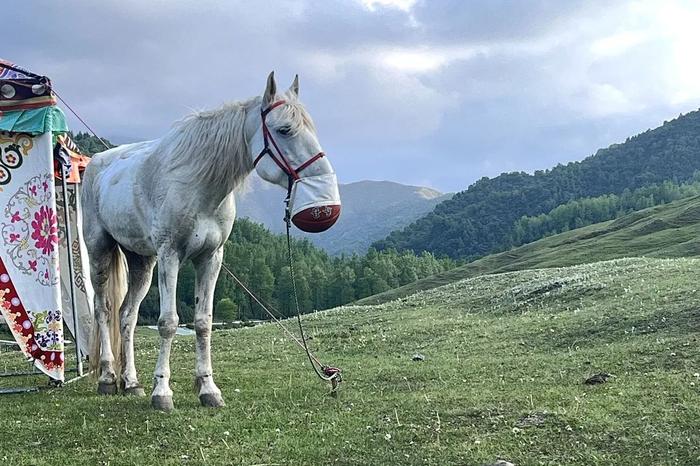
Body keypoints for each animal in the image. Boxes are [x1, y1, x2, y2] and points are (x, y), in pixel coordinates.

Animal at [81, 73, 342, 412]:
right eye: (284, 129)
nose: (323, 185)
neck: (198, 186)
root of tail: (96, 163)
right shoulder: (170, 255)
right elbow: (168, 322)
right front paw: (162, 393)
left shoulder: (210, 258)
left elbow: (203, 322)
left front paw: (208, 389)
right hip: (99, 251)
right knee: (103, 311)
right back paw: (108, 378)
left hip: (142, 262)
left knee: (127, 317)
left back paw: (131, 382)